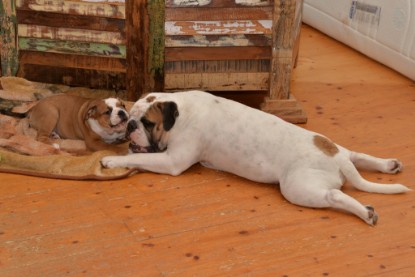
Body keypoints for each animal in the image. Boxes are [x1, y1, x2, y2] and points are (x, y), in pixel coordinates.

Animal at [101, 90, 412, 224]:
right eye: (132, 115)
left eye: (148, 123)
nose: (130, 125)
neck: (181, 111)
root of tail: (337, 159)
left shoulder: (171, 161)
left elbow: (140, 159)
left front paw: (112, 160)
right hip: (343, 152)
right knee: (359, 156)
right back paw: (388, 164)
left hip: (298, 187)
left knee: (335, 195)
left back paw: (365, 212)